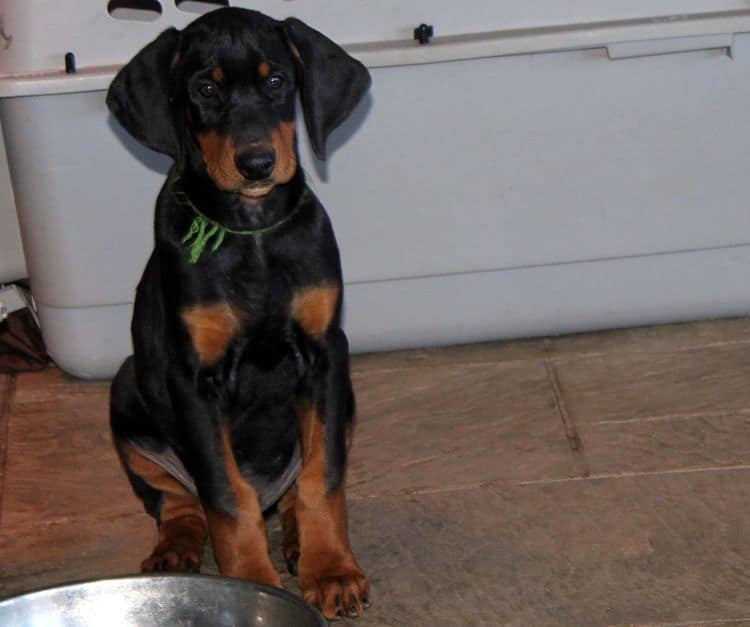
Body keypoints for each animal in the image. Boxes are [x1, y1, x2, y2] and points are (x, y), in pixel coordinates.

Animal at [107, 7, 372, 620]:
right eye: (205, 89)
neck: (250, 231)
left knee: (295, 489)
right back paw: (176, 551)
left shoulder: (326, 355)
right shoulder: (193, 378)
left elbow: (323, 477)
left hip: (345, 399)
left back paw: (296, 539)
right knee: (179, 504)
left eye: (277, 82)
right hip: (126, 392)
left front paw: (332, 570)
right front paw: (252, 583)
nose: (256, 163)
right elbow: (228, 498)